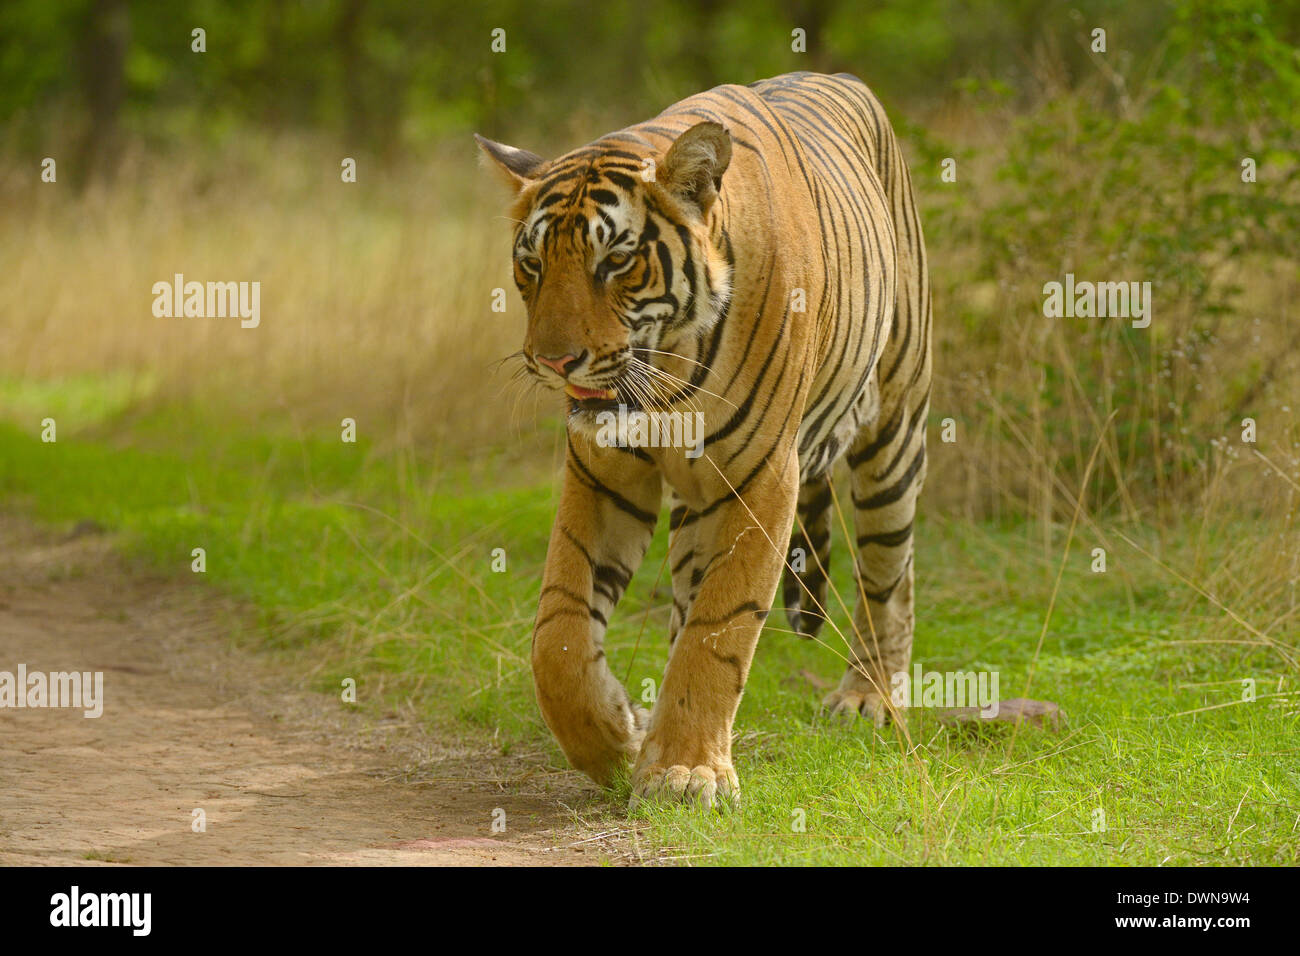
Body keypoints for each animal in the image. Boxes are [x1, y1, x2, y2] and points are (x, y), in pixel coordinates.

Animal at [478, 70, 935, 811]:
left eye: (617, 261)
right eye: (533, 264)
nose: (554, 362)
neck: (669, 371)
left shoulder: (764, 477)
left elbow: (720, 630)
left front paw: (686, 770)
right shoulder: (603, 472)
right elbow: (560, 633)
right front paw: (612, 741)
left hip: (893, 429)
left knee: (889, 574)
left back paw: (868, 698)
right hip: (700, 502)